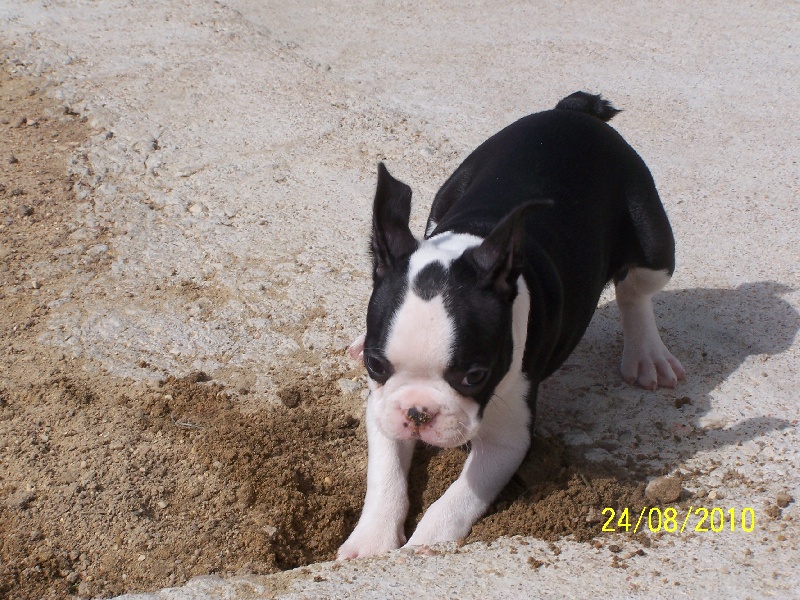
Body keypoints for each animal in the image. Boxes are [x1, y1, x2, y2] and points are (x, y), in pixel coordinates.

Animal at [338, 92, 685, 559]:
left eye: (474, 376)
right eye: (375, 366)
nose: (418, 412)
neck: (471, 241)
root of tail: (574, 112)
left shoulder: (507, 436)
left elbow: (459, 496)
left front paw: (426, 544)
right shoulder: (383, 407)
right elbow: (386, 477)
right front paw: (371, 542)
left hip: (651, 237)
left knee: (636, 289)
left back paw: (648, 355)